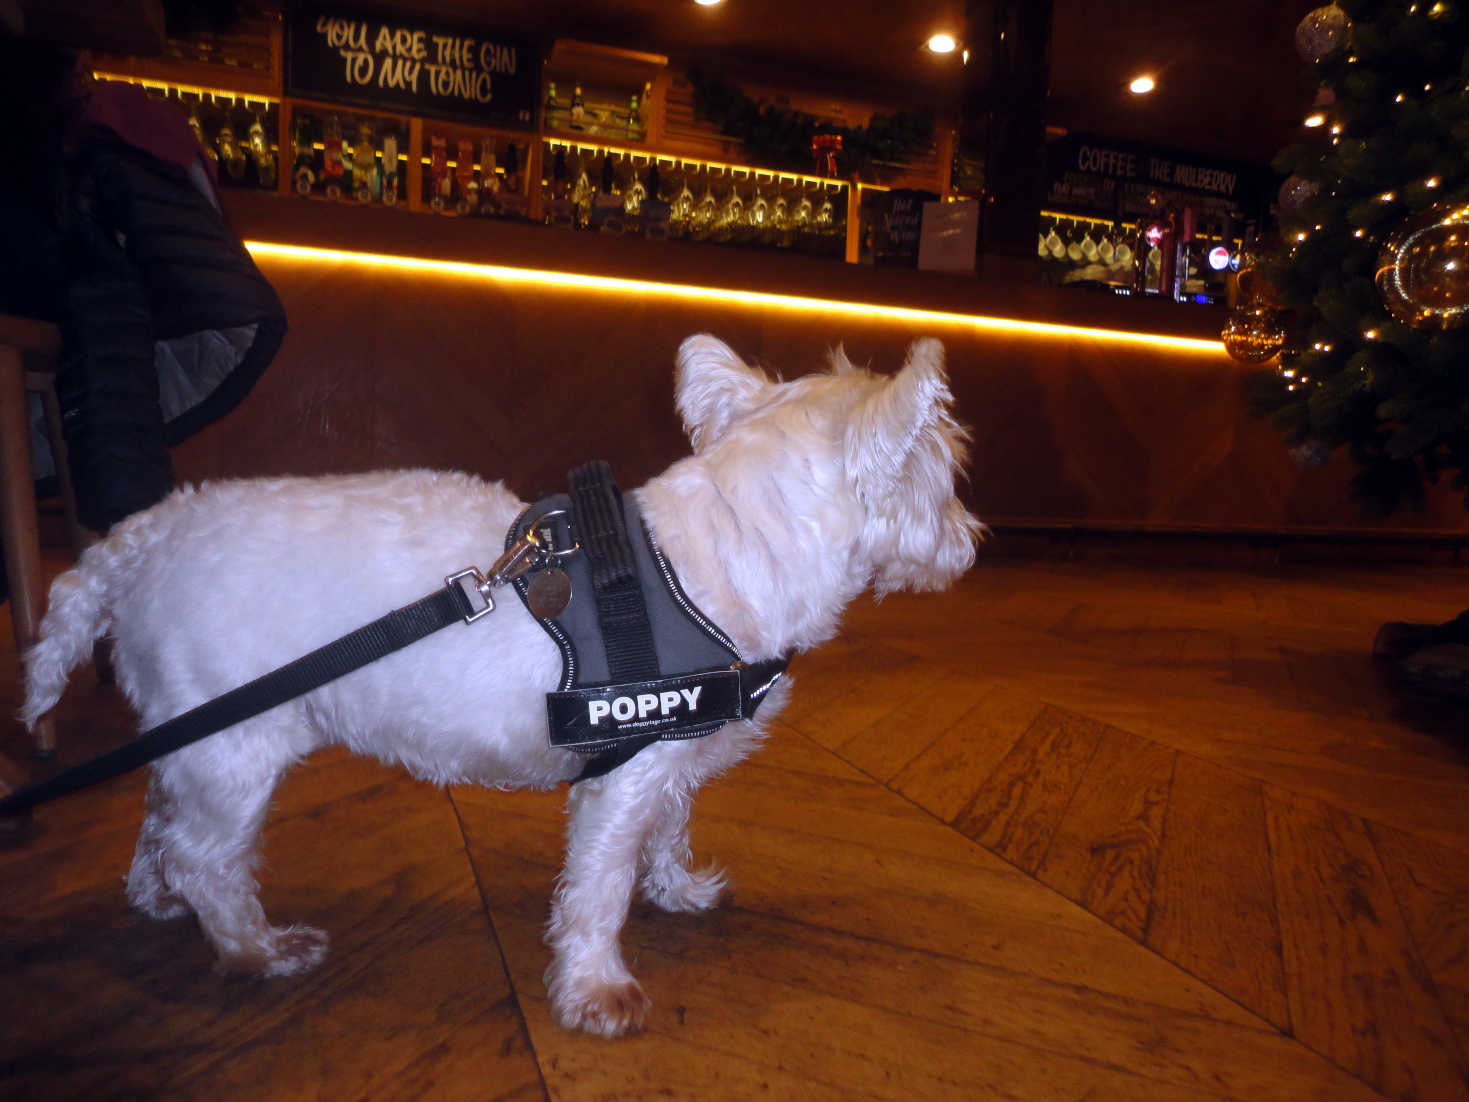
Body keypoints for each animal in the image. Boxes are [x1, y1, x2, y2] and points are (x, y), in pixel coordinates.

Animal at [17, 332, 981, 1040]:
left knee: (158, 817)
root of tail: (139, 539)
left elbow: (670, 831)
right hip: (237, 750)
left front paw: (677, 891)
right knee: (205, 857)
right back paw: (257, 947)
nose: (973, 541)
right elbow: (598, 888)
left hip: (194, 728)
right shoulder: (621, 776)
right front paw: (597, 991)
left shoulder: (671, 750)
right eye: (946, 476)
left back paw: (158, 900)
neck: (724, 558)